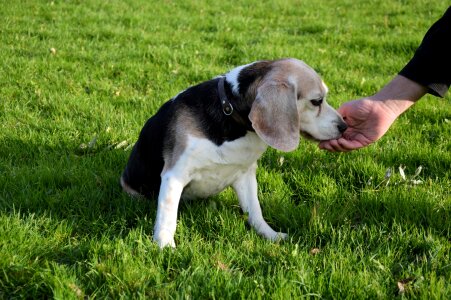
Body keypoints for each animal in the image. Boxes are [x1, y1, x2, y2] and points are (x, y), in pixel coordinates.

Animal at [120, 58, 346, 248]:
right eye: (317, 101)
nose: (344, 126)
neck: (228, 112)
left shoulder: (245, 175)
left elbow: (255, 210)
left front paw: (270, 235)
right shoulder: (174, 175)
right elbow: (168, 216)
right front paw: (165, 246)